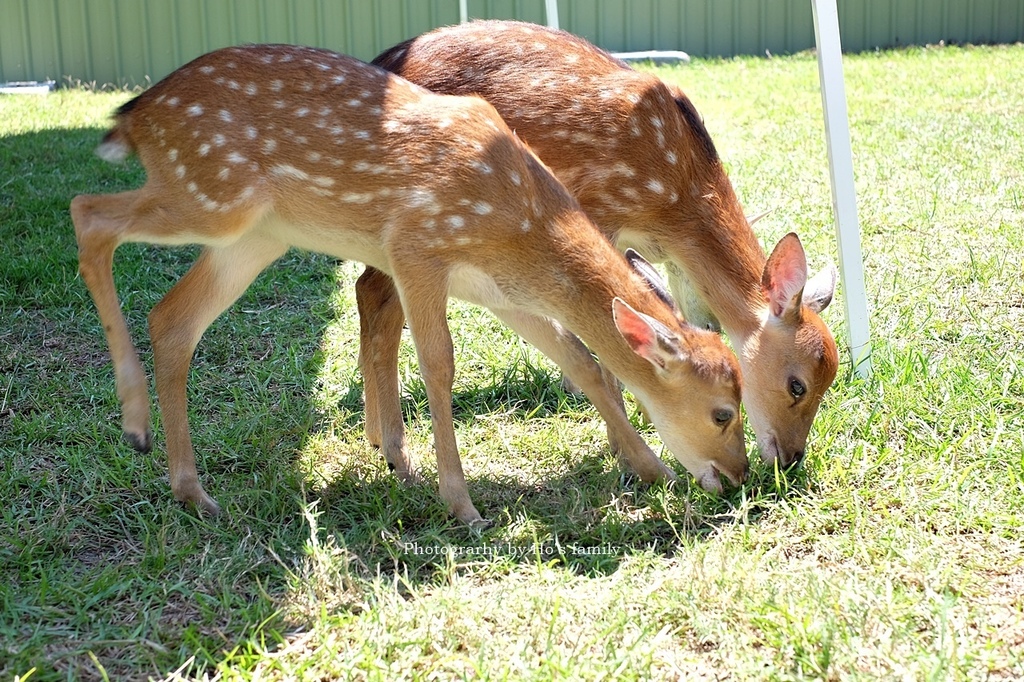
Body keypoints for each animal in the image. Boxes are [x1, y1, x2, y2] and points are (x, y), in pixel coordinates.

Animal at [70, 43, 745, 524]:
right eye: (722, 412)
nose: (740, 477)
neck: (522, 223)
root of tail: (135, 114)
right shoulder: (417, 247)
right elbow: (439, 365)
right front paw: (461, 504)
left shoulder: (498, 290)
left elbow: (580, 360)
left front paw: (650, 468)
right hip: (211, 194)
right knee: (88, 212)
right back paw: (136, 424)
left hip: (251, 236)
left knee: (171, 318)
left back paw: (188, 486)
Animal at [360, 19, 839, 466]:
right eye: (797, 385)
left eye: (829, 382)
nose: (792, 457)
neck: (675, 201)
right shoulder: (599, 212)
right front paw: (624, 446)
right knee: (376, 297)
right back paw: (392, 445)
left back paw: (378, 438)